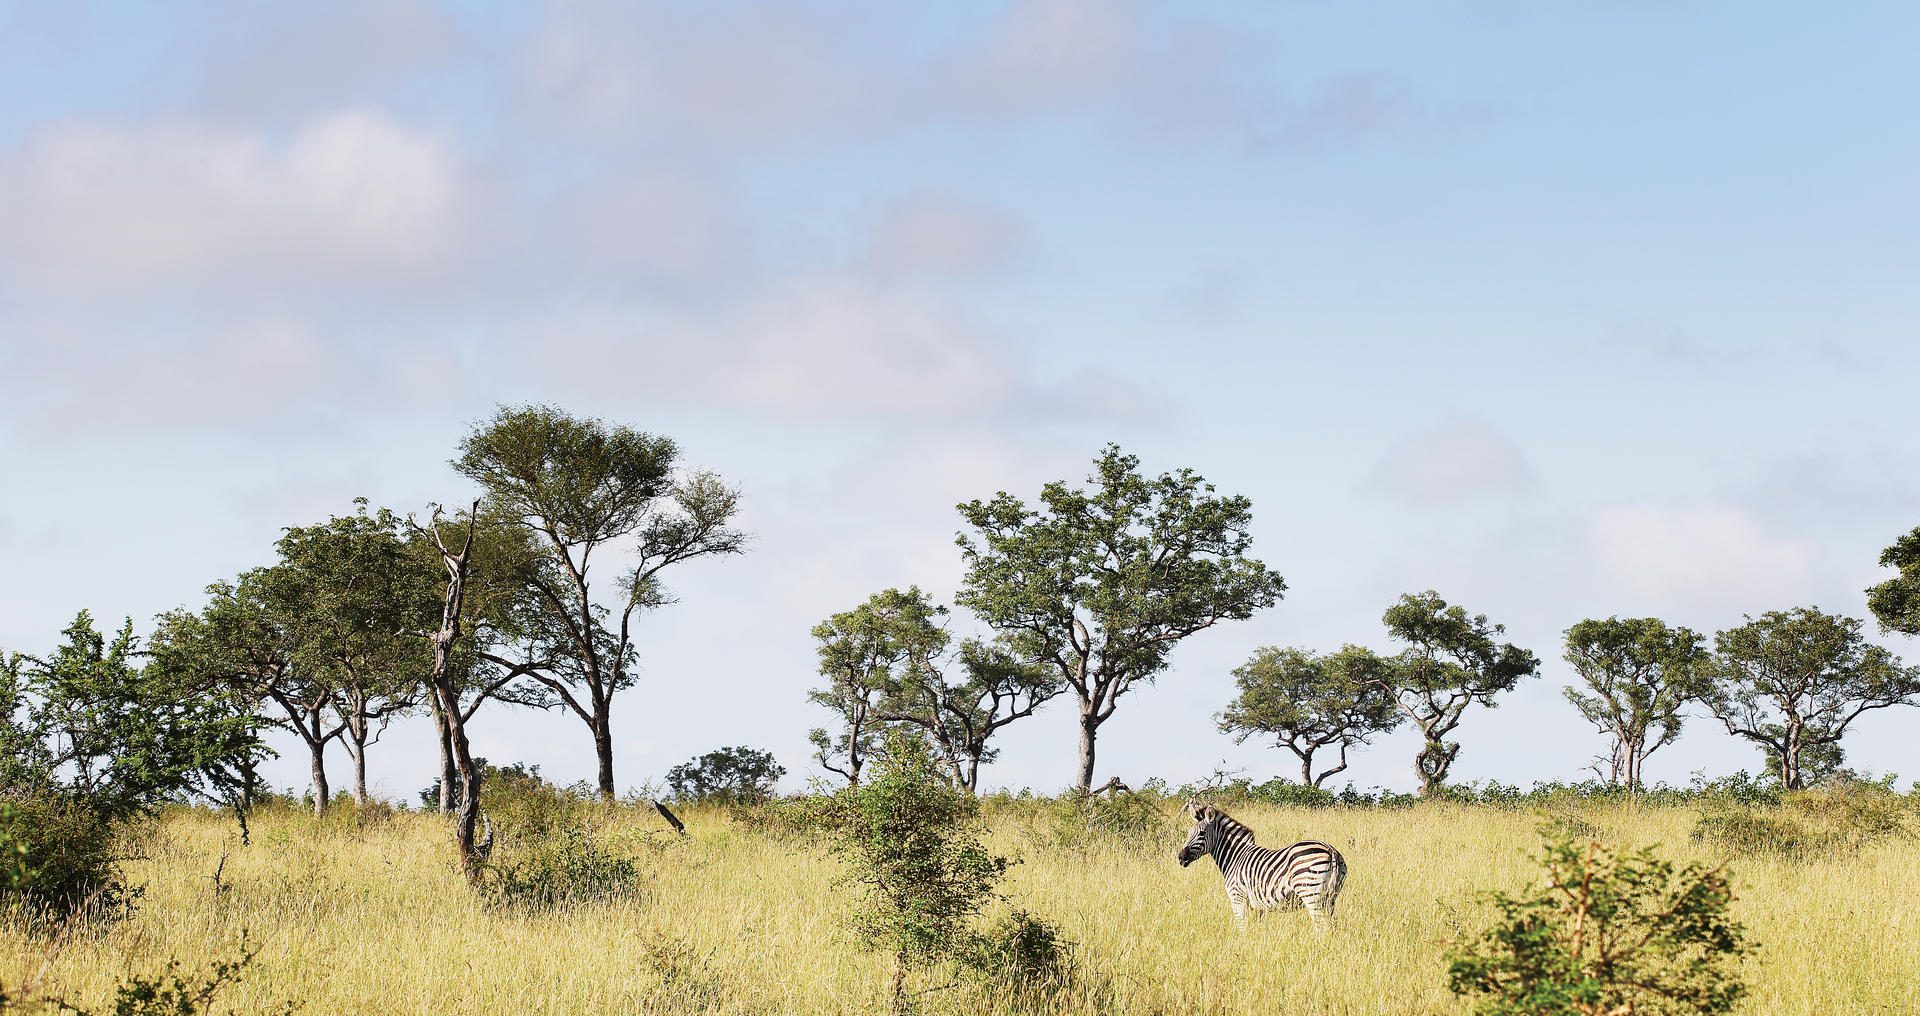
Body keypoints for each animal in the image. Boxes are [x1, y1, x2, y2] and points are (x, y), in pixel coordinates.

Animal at [1177, 800, 1347, 929]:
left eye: (1202, 833)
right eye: (1188, 833)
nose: (1181, 857)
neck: (1235, 857)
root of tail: (1331, 850)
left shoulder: (1237, 897)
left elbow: (1242, 927)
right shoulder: (1257, 906)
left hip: (1310, 893)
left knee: (1322, 927)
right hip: (1331, 898)